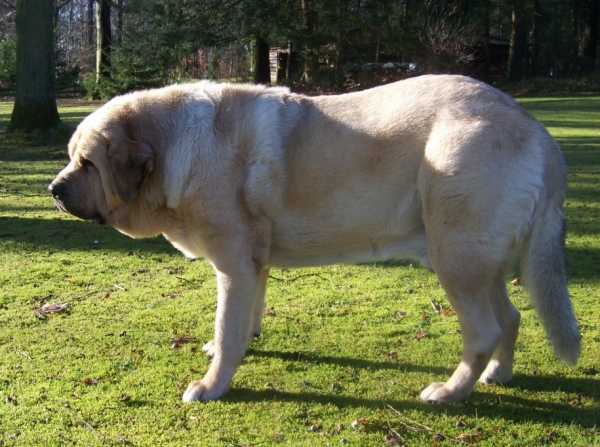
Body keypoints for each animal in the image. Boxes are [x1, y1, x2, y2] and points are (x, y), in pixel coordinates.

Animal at [51, 75, 580, 404]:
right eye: (72, 158)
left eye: (88, 163)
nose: (54, 189)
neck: (176, 148)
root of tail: (534, 128)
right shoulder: (253, 265)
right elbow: (246, 319)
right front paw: (240, 344)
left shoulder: (234, 265)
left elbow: (227, 328)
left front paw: (213, 384)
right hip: (482, 262)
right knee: (510, 317)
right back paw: (498, 373)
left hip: (457, 256)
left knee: (484, 330)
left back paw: (451, 391)